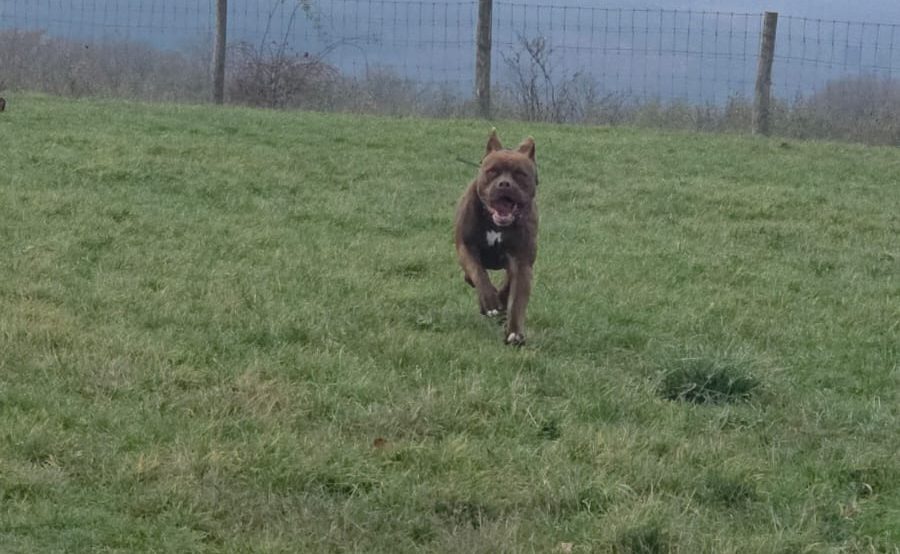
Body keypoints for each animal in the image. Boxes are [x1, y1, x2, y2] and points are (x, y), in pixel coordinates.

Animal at [454, 129, 538, 345]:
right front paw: (490, 302)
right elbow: (478, 272)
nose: (505, 183)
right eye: (492, 171)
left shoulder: (521, 260)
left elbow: (517, 298)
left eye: (520, 174)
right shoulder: (466, 246)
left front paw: (514, 332)